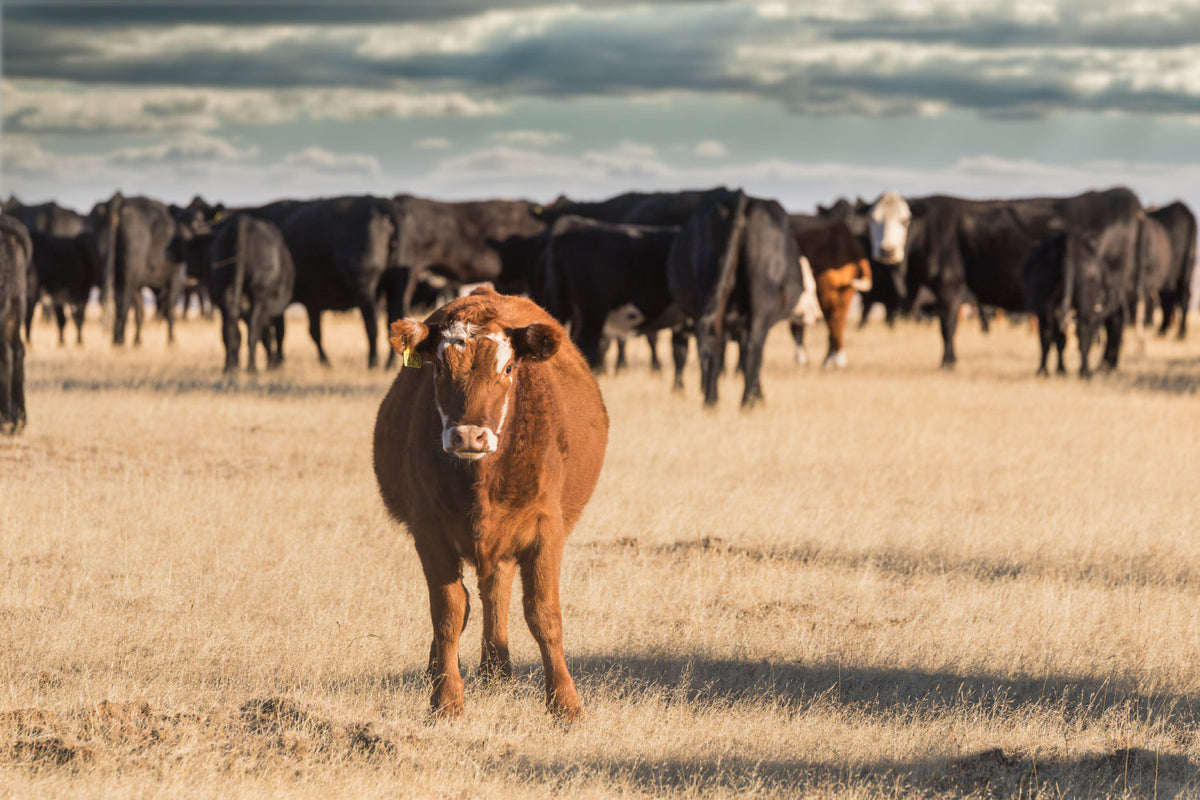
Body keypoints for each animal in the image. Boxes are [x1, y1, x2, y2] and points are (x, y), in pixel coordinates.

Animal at [210, 215, 295, 373]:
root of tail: (244, 222)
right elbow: (268, 336)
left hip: (223, 291)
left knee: (229, 332)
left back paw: (229, 368)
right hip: (259, 294)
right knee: (253, 331)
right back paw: (252, 368)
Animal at [374, 288, 607, 720]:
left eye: (509, 367)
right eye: (438, 368)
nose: (468, 435)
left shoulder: (546, 528)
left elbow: (543, 612)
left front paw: (565, 703)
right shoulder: (428, 531)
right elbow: (448, 611)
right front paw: (446, 697)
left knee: (496, 592)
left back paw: (497, 671)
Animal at [666, 189, 802, 407]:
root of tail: (741, 197)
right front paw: (759, 395)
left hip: (712, 293)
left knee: (715, 342)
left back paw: (711, 400)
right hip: (761, 300)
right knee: (753, 347)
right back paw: (746, 402)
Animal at [788, 218, 873, 368]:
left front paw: (801, 357)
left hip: (826, 292)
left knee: (833, 319)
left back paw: (834, 359)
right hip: (846, 291)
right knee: (840, 318)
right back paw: (834, 357)